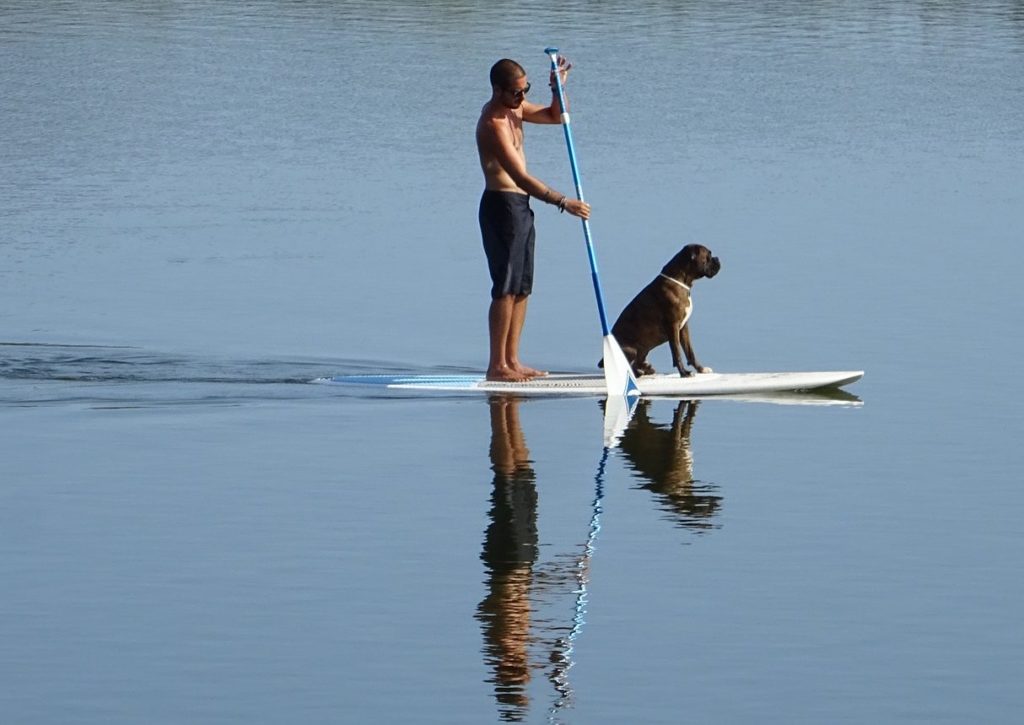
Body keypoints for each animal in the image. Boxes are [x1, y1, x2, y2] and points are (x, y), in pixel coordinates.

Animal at [598, 244, 720, 376]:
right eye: (708, 256)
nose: (717, 259)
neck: (680, 281)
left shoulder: (683, 327)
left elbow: (689, 351)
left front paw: (701, 369)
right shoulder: (673, 326)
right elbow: (677, 352)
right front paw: (684, 373)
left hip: (644, 349)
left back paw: (645, 368)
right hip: (631, 350)